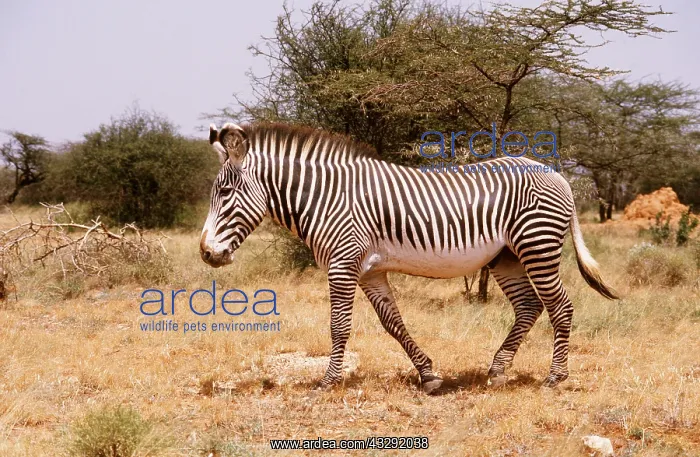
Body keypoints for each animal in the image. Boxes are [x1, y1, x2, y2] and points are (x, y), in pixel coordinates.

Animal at [200, 122, 618, 394]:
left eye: (225, 192)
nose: (206, 253)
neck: (326, 199)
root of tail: (554, 173)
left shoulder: (342, 265)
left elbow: (339, 327)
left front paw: (328, 381)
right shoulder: (369, 272)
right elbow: (393, 323)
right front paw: (429, 375)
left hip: (538, 246)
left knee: (560, 307)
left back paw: (555, 377)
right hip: (507, 257)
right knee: (530, 306)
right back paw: (498, 369)